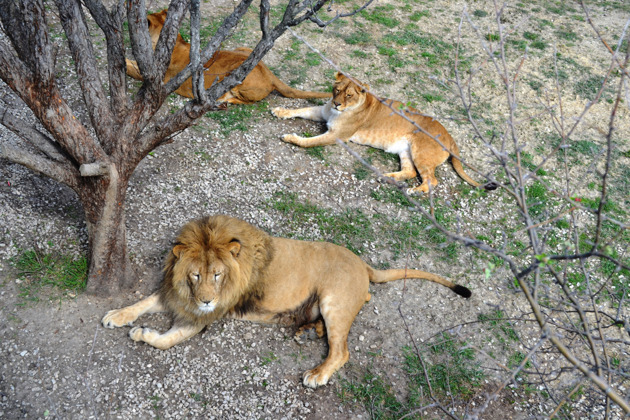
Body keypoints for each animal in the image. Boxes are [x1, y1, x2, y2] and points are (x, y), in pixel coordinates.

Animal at [101, 215, 472, 388]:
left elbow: (166, 340)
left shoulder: (205, 315)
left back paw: (317, 374)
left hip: (334, 300)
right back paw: (307, 331)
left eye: (217, 275)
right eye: (195, 275)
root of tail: (363, 263)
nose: (206, 300)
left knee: (341, 351)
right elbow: (143, 302)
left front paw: (142, 333)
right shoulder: (177, 294)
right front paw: (116, 315)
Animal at [124, 10, 330, 104]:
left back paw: (224, 99)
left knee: (243, 101)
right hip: (244, 49)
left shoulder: (156, 80)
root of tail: (271, 75)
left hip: (237, 80)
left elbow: (129, 67)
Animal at [272, 73, 498, 194]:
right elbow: (300, 110)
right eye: (337, 90)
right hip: (406, 151)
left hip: (421, 152)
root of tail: (450, 137)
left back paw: (412, 190)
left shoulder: (338, 135)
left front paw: (290, 137)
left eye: (349, 95)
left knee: (431, 180)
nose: (336, 103)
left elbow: (308, 142)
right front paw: (279, 111)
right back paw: (386, 177)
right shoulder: (322, 112)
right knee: (410, 171)